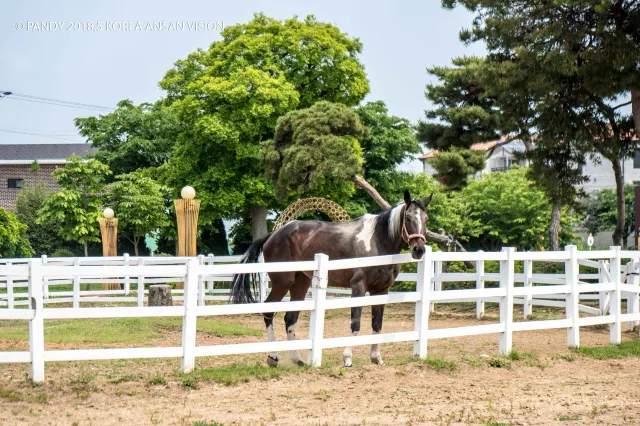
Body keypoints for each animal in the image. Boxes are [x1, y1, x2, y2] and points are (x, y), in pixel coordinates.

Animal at [228, 190, 432, 366]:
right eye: (408, 217)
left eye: (426, 219)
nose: (419, 249)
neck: (377, 241)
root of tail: (273, 235)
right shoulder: (358, 287)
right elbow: (355, 323)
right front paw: (348, 358)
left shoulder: (381, 290)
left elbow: (377, 324)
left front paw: (376, 358)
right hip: (282, 283)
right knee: (269, 312)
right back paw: (273, 357)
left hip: (301, 283)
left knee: (290, 318)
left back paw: (298, 359)